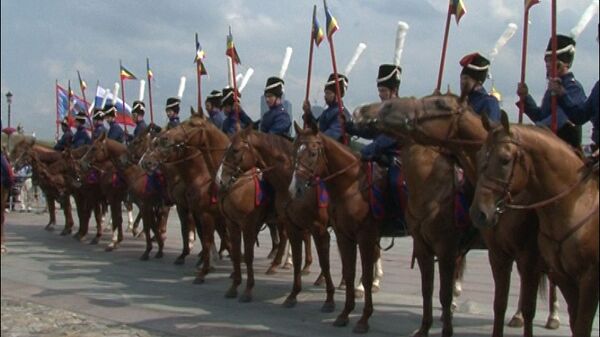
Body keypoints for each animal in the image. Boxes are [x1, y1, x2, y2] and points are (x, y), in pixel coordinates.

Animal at [218, 126, 332, 310]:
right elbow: (237, 253)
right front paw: (234, 286)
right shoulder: (234, 223)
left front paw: (247, 291)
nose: (221, 179)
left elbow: (248, 255)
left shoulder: (249, 224)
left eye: (235, 150)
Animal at [354, 92, 560, 336]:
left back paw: (549, 316)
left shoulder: (448, 248)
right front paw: (424, 328)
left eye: (440, 103)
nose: (362, 111)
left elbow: (444, 293)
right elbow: (427, 289)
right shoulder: (423, 246)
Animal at [472, 112, 596, 336]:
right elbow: (499, 304)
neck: (578, 202)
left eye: (505, 160)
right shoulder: (499, 256)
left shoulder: (585, 278)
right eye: (479, 156)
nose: (478, 213)